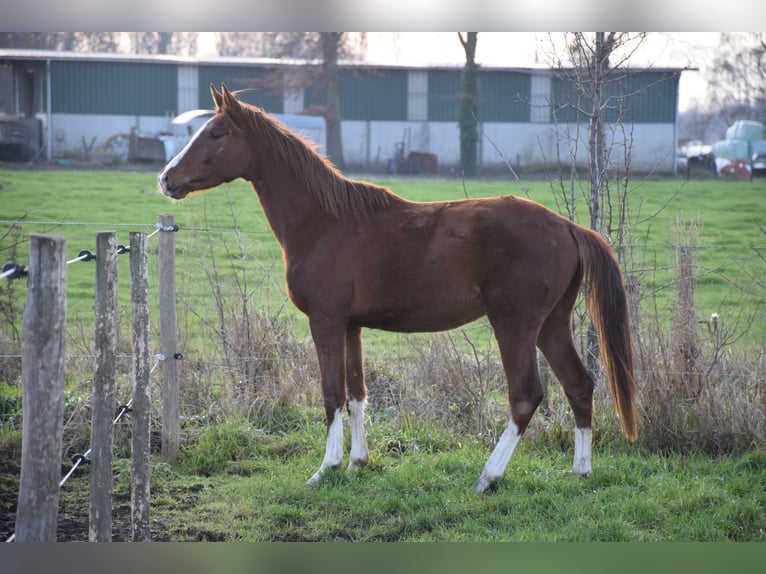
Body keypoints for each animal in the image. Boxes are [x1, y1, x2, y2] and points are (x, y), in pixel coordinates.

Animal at [159, 84, 637, 492]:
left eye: (216, 133)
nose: (166, 179)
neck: (325, 223)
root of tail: (567, 226)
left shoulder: (326, 322)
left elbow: (331, 394)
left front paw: (326, 468)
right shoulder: (351, 326)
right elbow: (357, 394)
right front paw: (357, 463)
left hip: (515, 326)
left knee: (526, 396)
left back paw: (488, 477)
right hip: (551, 326)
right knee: (580, 384)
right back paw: (580, 471)